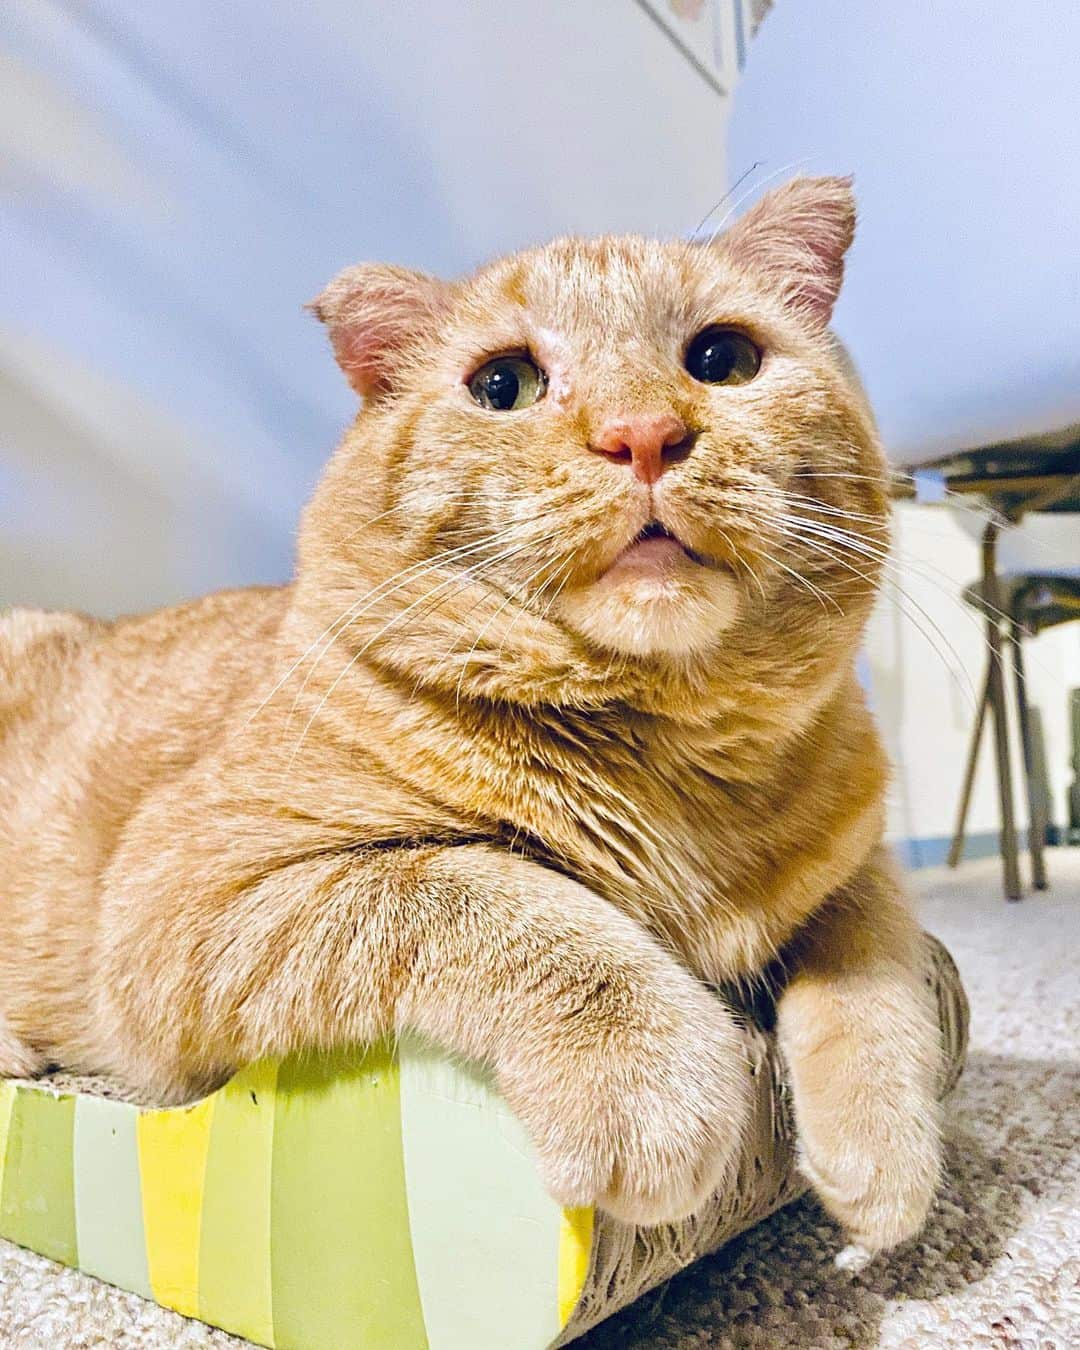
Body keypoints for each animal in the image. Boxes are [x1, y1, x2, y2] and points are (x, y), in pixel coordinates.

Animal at [2, 179, 934, 1263]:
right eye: (505, 384)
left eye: (721, 360)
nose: (643, 433)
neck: (671, 758)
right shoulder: (194, 887)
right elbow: (502, 896)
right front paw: (656, 1079)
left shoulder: (858, 865)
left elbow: (880, 969)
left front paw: (884, 1155)